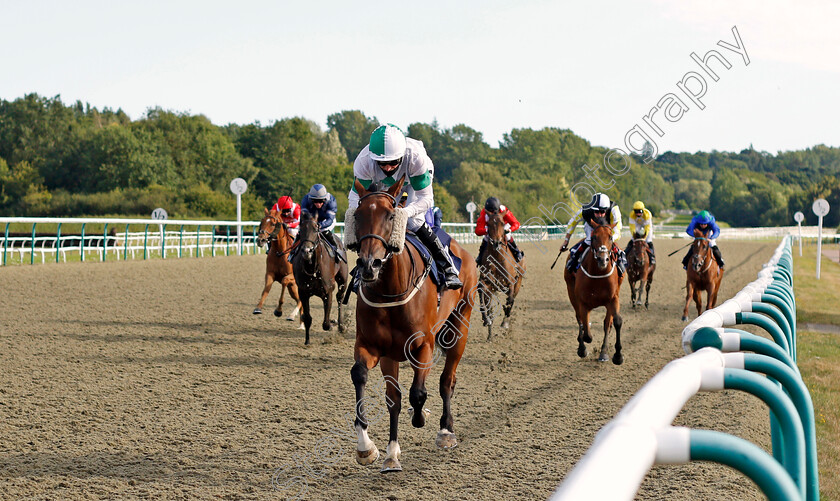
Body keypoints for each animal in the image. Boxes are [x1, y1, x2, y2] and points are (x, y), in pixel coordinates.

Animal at [292, 211, 348, 344]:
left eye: (315, 229)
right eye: (301, 230)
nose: (307, 251)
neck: (313, 269)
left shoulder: (328, 293)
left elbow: (326, 324)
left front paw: (333, 323)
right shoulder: (303, 293)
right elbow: (307, 318)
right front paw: (307, 341)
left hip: (343, 279)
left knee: (340, 297)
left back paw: (341, 325)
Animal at [348, 176, 480, 472]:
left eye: (390, 215)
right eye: (358, 215)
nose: (369, 265)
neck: (391, 290)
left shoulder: (423, 345)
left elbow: (418, 393)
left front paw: (420, 417)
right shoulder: (375, 348)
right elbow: (373, 385)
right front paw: (374, 449)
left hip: (460, 327)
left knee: (447, 380)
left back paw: (445, 431)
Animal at [480, 207, 524, 340]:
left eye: (502, 223)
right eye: (488, 224)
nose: (496, 243)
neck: (497, 257)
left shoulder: (510, 283)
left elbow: (510, 300)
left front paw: (504, 322)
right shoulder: (487, 283)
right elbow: (484, 298)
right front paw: (487, 320)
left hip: (518, 282)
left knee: (512, 299)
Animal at [564, 222, 624, 364]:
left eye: (610, 237)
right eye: (594, 237)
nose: (603, 259)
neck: (598, 274)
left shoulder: (613, 298)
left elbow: (616, 321)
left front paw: (618, 356)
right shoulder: (582, 302)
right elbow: (586, 332)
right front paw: (583, 346)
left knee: (607, 323)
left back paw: (603, 353)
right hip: (571, 292)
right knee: (580, 320)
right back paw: (582, 348)